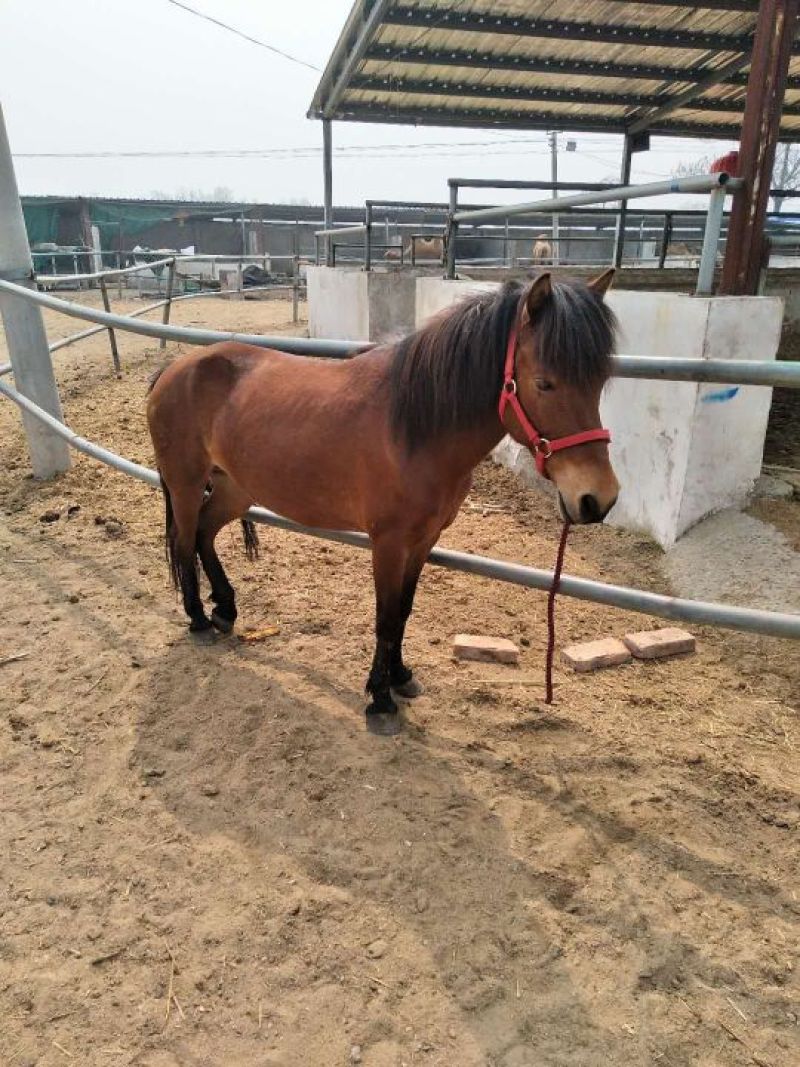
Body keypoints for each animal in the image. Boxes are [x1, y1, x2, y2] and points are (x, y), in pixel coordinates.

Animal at [147, 270, 619, 733]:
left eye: (599, 382)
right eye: (544, 383)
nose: (598, 498)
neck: (414, 429)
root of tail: (175, 368)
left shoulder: (424, 540)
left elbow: (404, 612)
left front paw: (400, 677)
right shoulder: (388, 543)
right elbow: (386, 616)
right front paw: (380, 699)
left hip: (234, 490)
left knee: (204, 535)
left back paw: (225, 610)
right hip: (187, 485)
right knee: (185, 542)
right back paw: (199, 619)